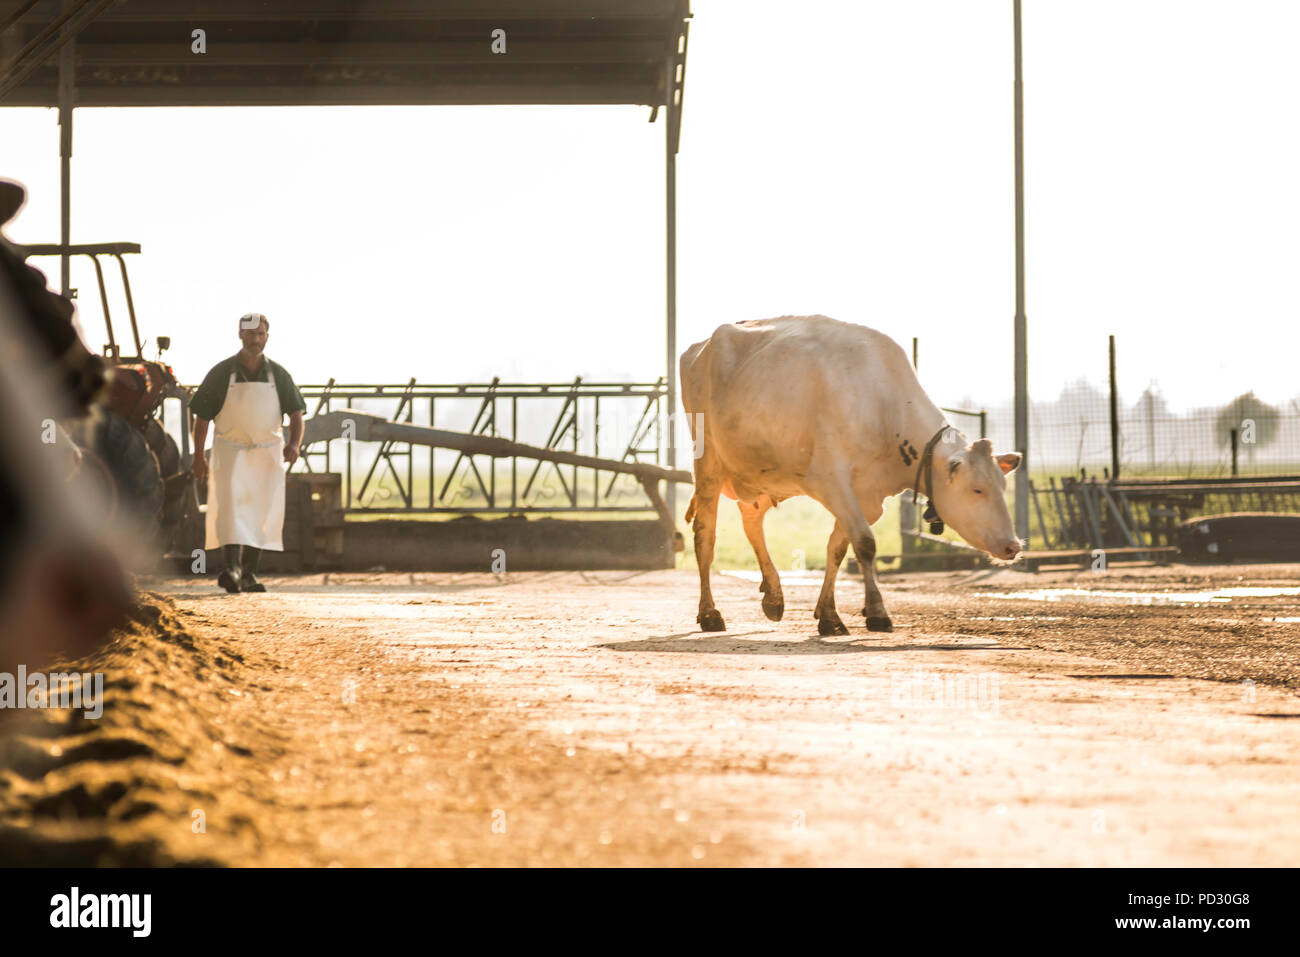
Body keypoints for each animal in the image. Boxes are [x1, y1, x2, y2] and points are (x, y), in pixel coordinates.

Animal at [681, 314, 1024, 639]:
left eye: (1002, 485)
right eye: (977, 489)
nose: (1013, 545)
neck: (882, 404)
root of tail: (699, 347)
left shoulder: (869, 496)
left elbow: (838, 546)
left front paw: (828, 614)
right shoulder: (830, 481)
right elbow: (865, 543)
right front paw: (877, 612)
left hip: (767, 474)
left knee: (751, 519)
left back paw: (774, 595)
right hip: (709, 464)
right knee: (705, 537)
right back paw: (710, 613)